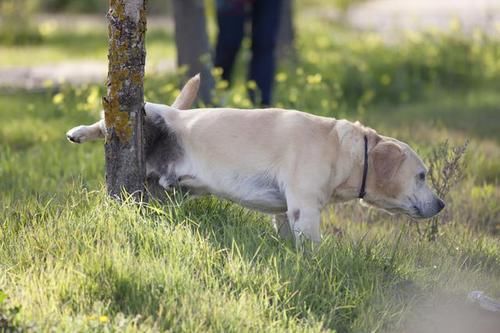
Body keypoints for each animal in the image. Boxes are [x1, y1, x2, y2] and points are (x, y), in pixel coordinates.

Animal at [67, 74, 446, 241]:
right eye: (422, 175)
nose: (442, 205)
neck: (343, 150)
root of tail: (176, 113)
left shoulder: (286, 212)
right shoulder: (305, 209)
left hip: (166, 188)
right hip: (149, 116)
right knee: (105, 123)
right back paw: (79, 132)